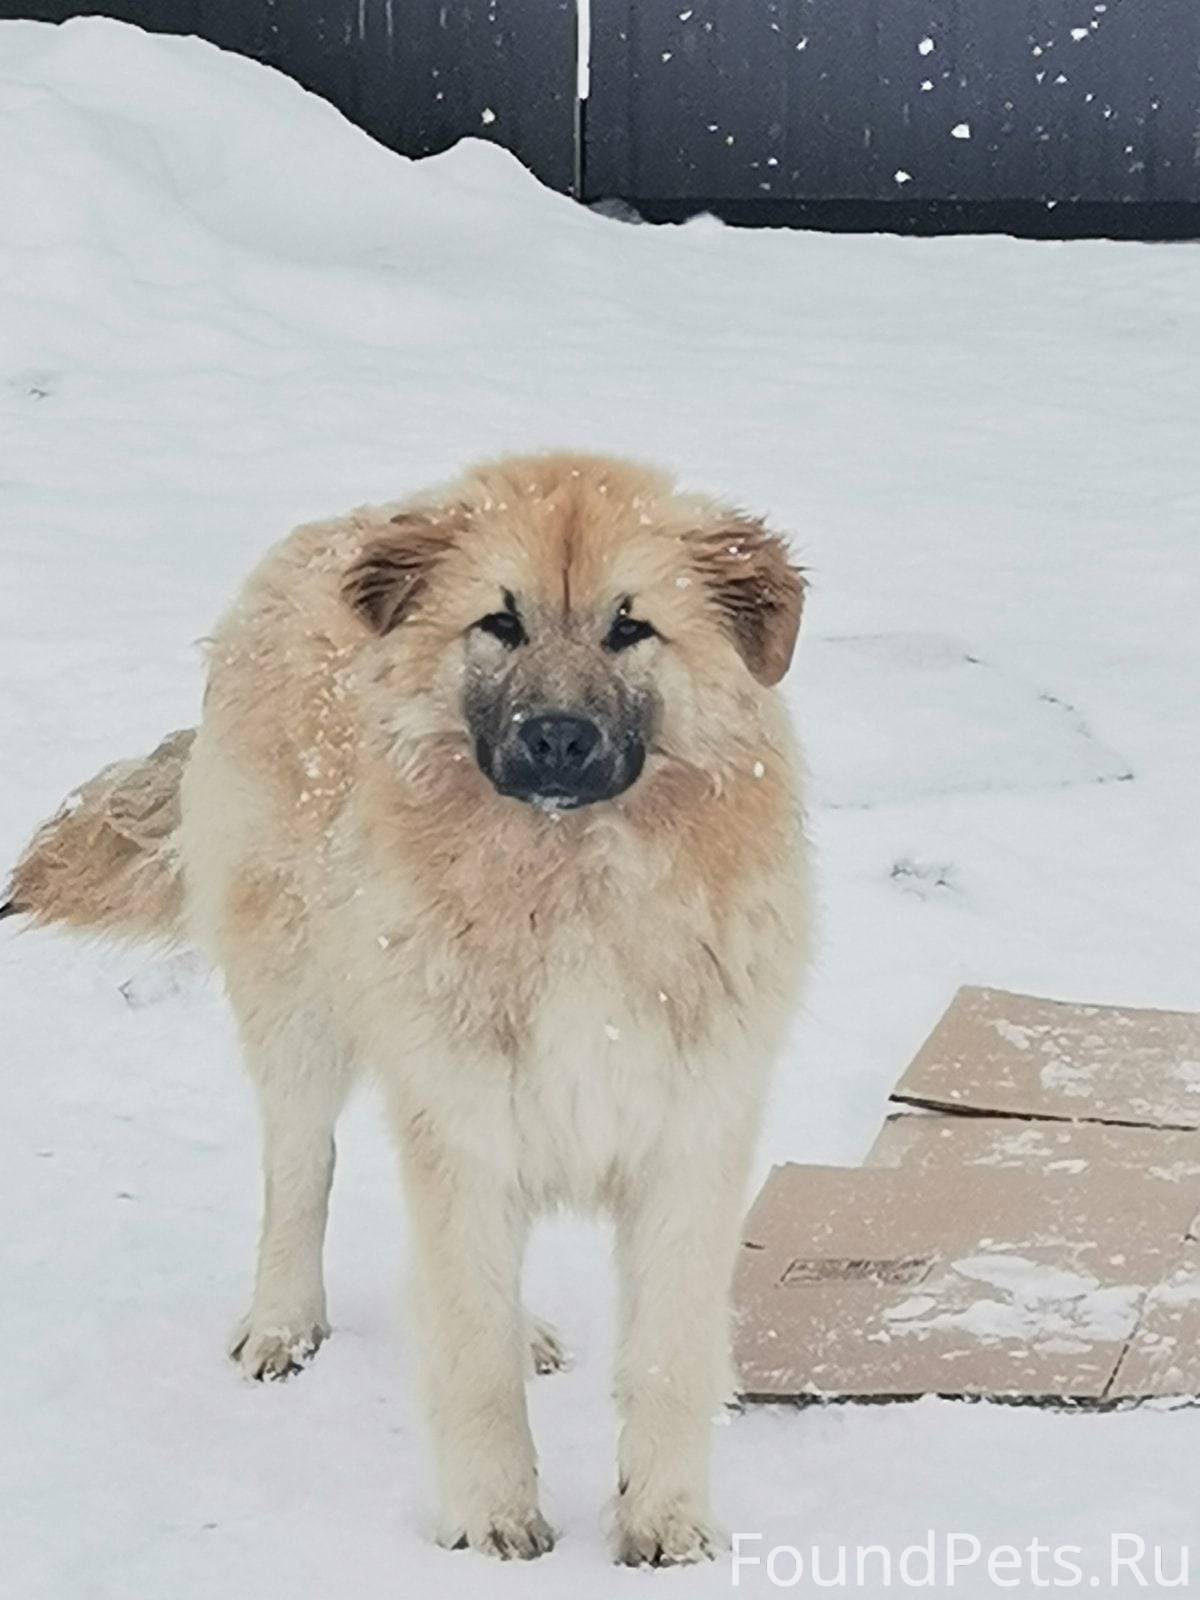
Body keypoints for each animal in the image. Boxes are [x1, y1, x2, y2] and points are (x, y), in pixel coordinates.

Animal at [4, 448, 809, 1561]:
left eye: (629, 627)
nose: (558, 739)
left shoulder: (685, 1139)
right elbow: (471, 1354)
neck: (568, 881)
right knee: (301, 1170)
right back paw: (283, 1322)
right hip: (299, 1015)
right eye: (500, 622)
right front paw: (495, 1517)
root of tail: (332, 534)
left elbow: (668, 1356)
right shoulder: (465, 1126)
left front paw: (666, 1521)